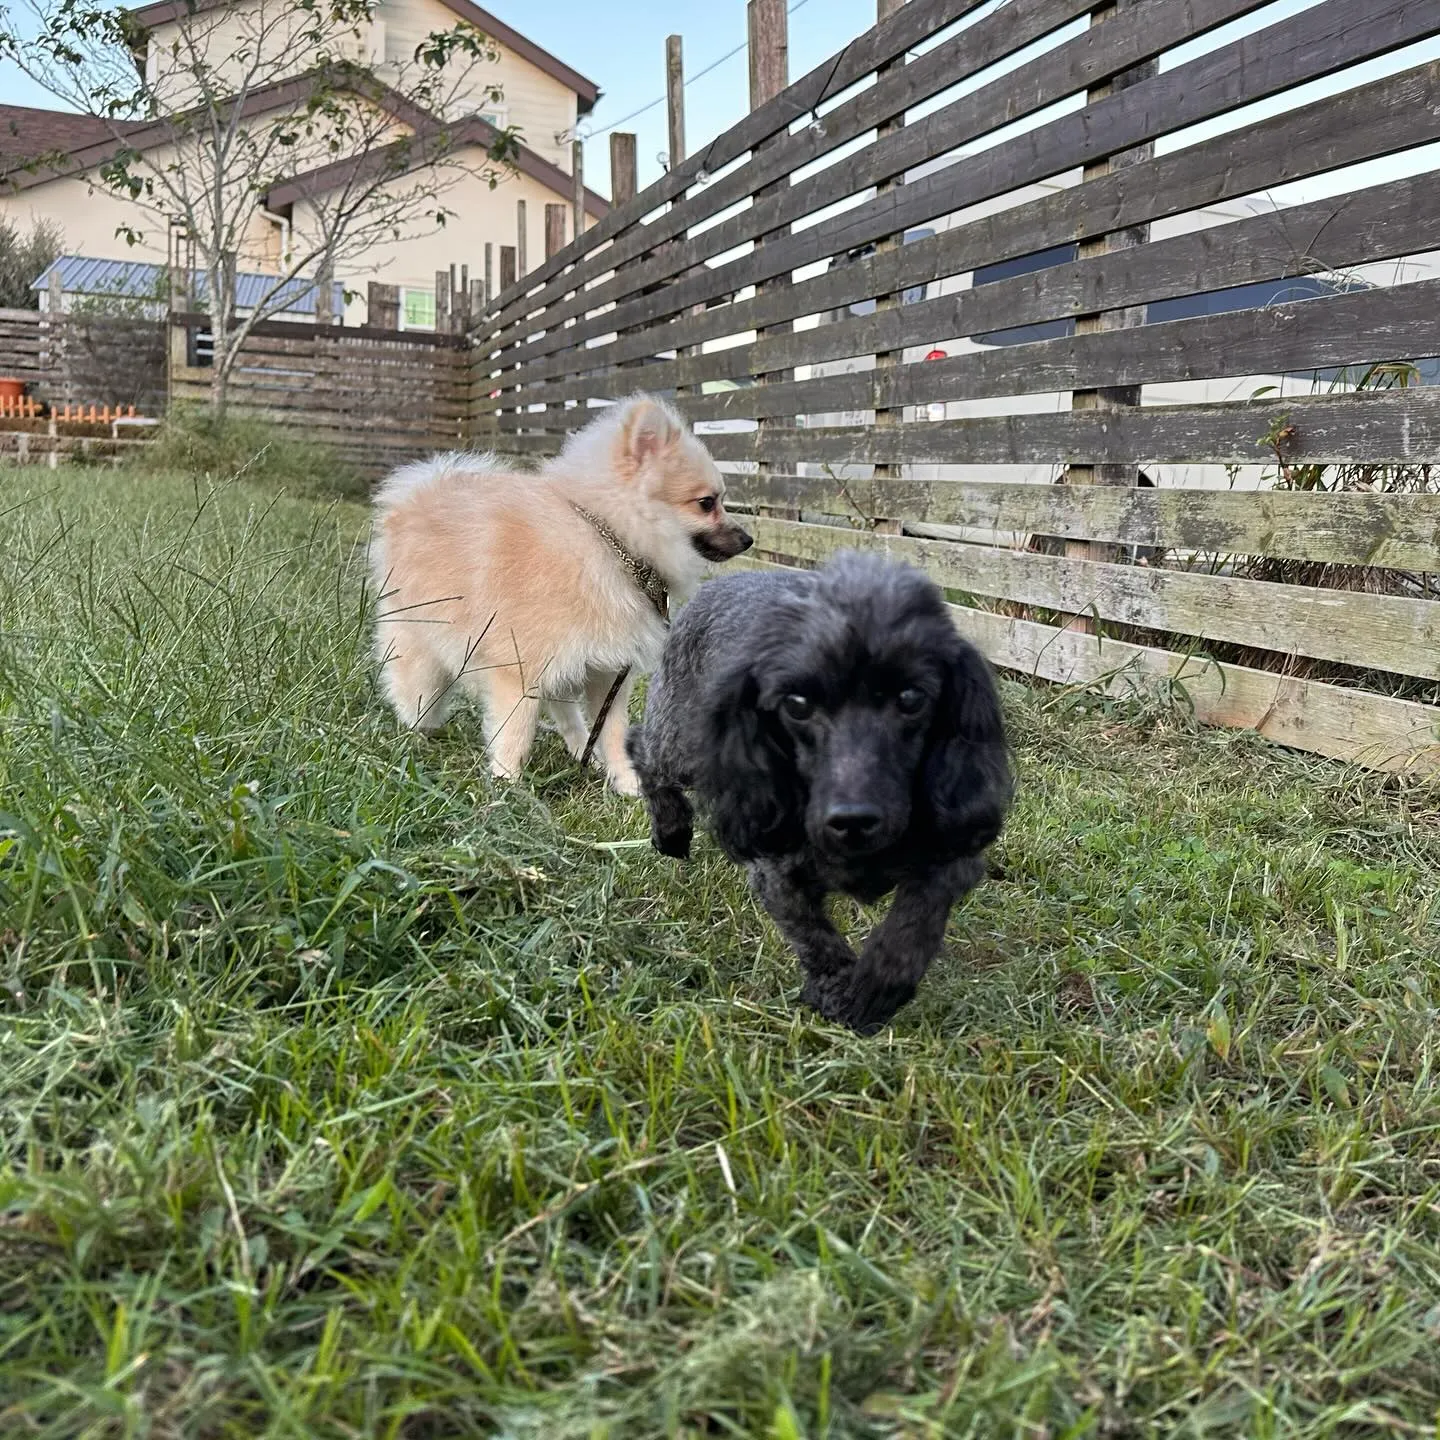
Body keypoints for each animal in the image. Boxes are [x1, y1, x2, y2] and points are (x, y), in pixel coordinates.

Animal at [368, 394, 754, 794]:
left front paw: (627, 784)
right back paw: (414, 737)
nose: (748, 539)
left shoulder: (607, 671)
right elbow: (516, 732)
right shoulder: (520, 670)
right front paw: (507, 786)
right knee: (415, 695)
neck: (610, 540)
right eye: (707, 503)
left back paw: (585, 754)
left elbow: (613, 732)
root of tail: (417, 494)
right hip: (422, 653)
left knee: (569, 717)